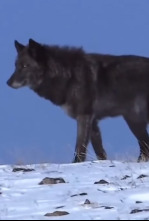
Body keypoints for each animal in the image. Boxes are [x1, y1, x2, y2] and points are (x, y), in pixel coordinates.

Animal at [6, 38, 149, 162]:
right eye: (16, 66)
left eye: (25, 66)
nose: (8, 82)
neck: (69, 76)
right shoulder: (93, 122)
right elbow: (99, 151)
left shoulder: (84, 116)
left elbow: (80, 148)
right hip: (134, 121)